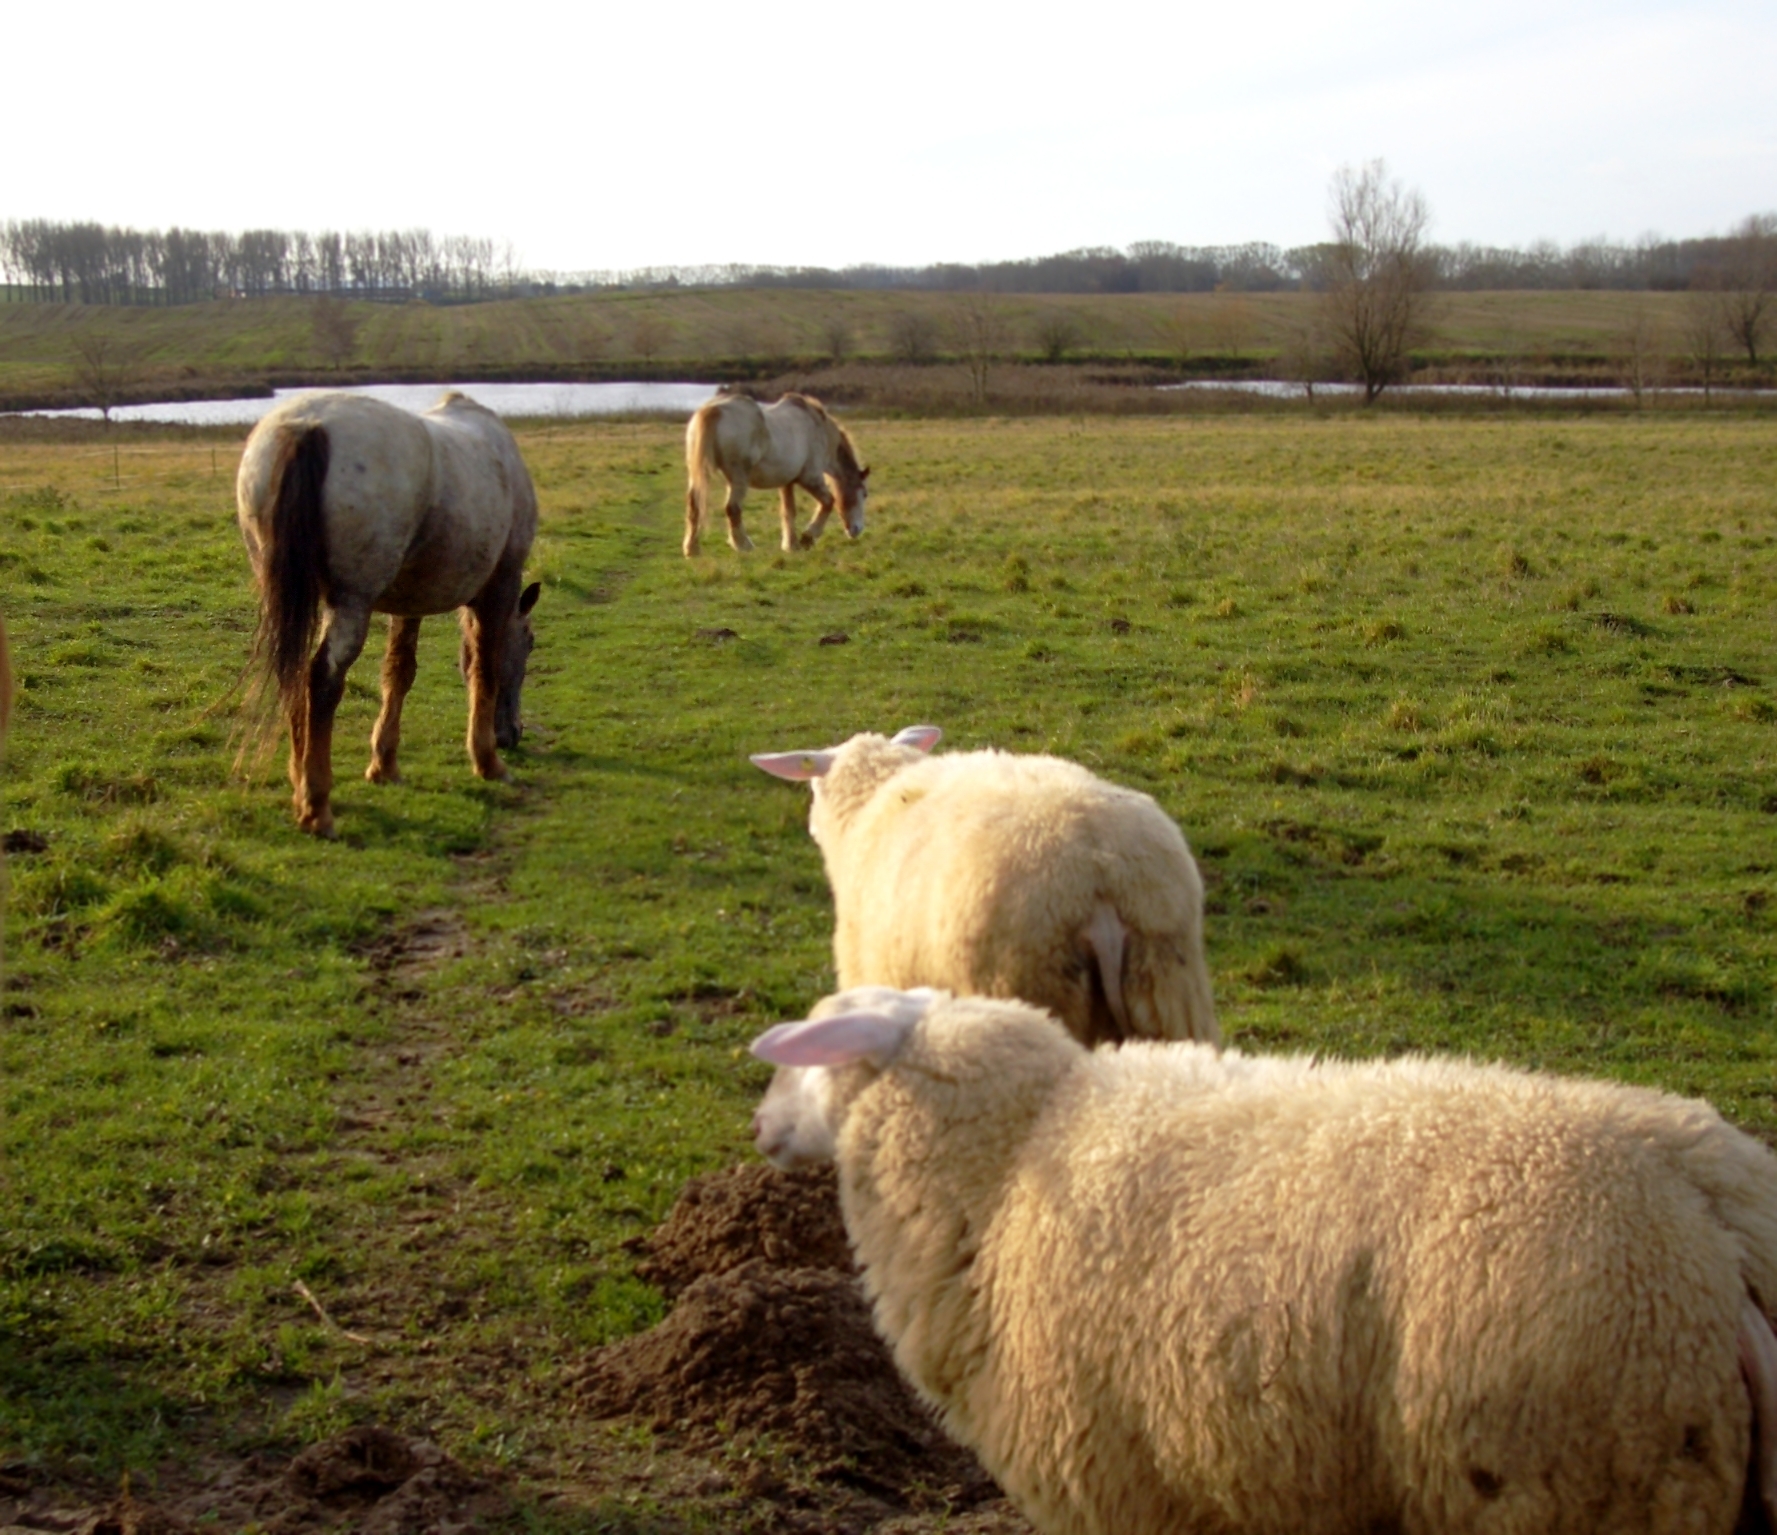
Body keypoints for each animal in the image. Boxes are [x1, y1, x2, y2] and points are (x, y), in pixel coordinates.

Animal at [239, 389, 536, 835]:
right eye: (530, 643)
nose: (512, 735)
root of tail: (308, 424)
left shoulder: (408, 603)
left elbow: (399, 672)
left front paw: (385, 764)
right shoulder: (500, 588)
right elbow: (487, 668)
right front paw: (487, 761)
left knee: (293, 675)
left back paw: (299, 783)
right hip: (351, 603)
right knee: (322, 680)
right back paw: (317, 804)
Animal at [757, 987, 1777, 1527]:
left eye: (812, 1049)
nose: (760, 1123)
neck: (1008, 1171)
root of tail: (1715, 1210)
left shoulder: (1119, 1486)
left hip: (1577, 1479)